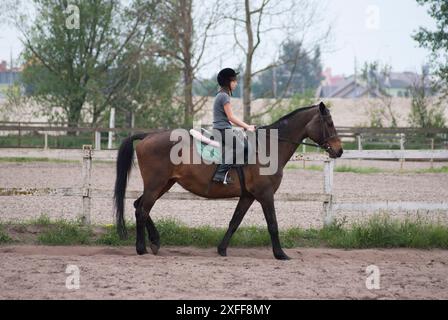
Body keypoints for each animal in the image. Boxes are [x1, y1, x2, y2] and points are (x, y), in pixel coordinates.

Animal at [114, 102, 342, 260]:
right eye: (329, 123)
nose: (339, 151)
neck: (268, 147)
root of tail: (147, 136)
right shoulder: (265, 195)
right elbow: (273, 224)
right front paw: (280, 254)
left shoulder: (248, 196)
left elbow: (235, 221)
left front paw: (222, 249)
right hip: (156, 184)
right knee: (142, 209)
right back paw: (142, 248)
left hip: (164, 184)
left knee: (139, 205)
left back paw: (154, 242)